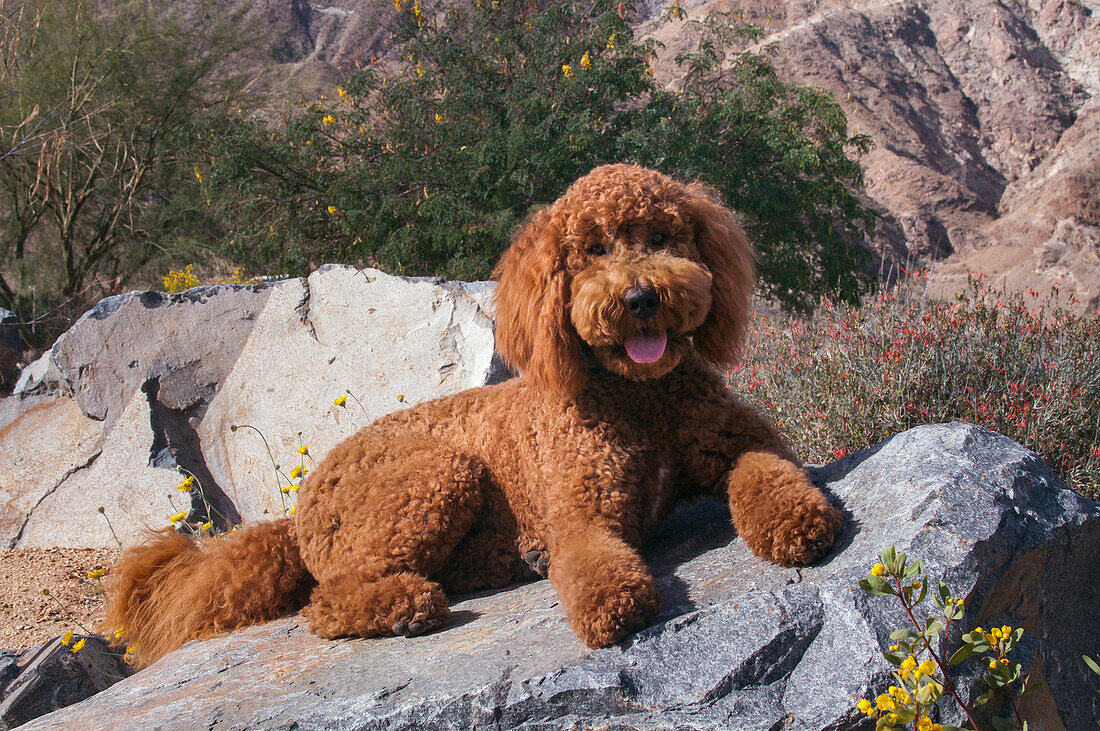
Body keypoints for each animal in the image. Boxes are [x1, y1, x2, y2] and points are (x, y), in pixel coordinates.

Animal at [105, 164, 840, 668]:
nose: (639, 299)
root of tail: (299, 508)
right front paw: (612, 604)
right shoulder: (581, 509)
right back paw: (409, 606)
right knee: (328, 599)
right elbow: (593, 559)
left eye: (661, 236)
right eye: (593, 250)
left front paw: (797, 521)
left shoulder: (742, 443)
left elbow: (768, 472)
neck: (639, 397)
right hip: (435, 474)